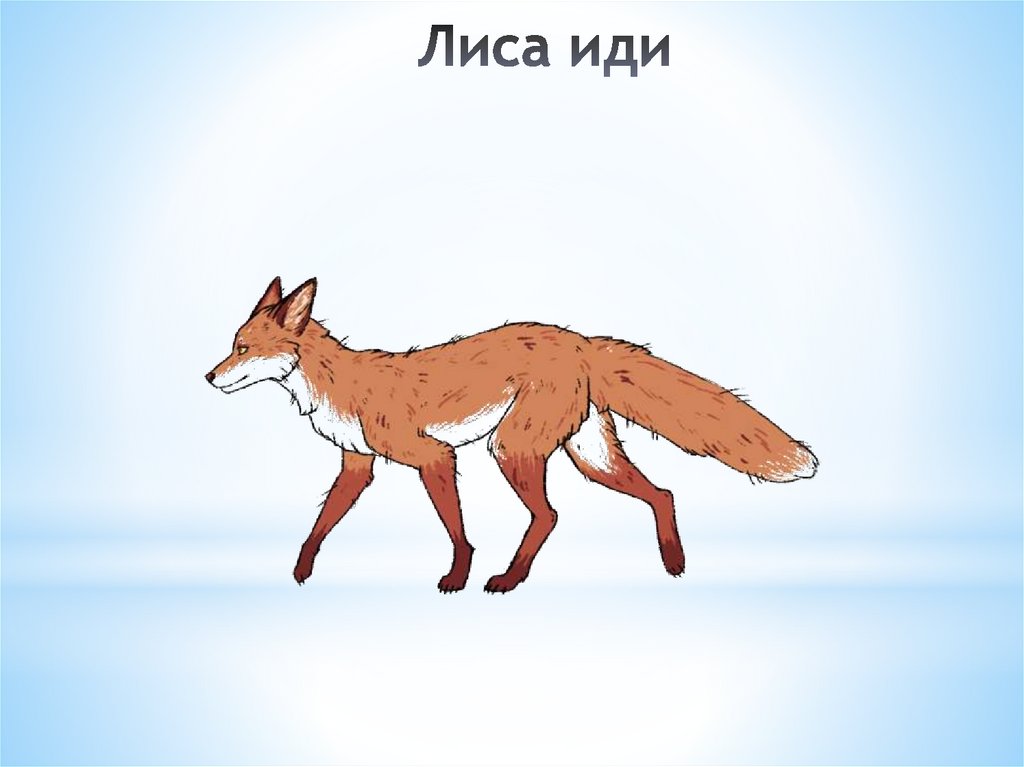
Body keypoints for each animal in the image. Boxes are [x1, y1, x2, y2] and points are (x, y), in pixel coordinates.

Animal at [206, 277, 818, 593]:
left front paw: (458, 575)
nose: (209, 377)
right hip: (588, 454)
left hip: (511, 448)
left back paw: (510, 578)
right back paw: (673, 562)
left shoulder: (433, 456)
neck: (339, 386)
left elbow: (457, 531)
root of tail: (580, 339)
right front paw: (301, 569)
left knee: (549, 516)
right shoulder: (357, 466)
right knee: (661, 494)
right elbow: (321, 524)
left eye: (242, 349)